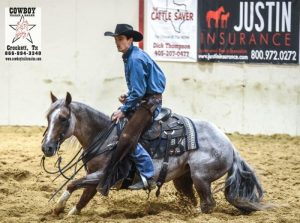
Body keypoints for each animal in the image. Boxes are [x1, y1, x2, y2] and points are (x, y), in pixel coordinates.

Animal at [41, 92, 266, 216]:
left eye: (63, 118)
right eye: (47, 116)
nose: (47, 148)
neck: (105, 136)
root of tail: (230, 146)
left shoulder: (104, 176)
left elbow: (73, 184)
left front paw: (58, 208)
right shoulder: (96, 178)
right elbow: (83, 197)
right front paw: (66, 212)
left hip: (201, 177)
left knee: (208, 204)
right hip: (183, 179)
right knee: (195, 200)